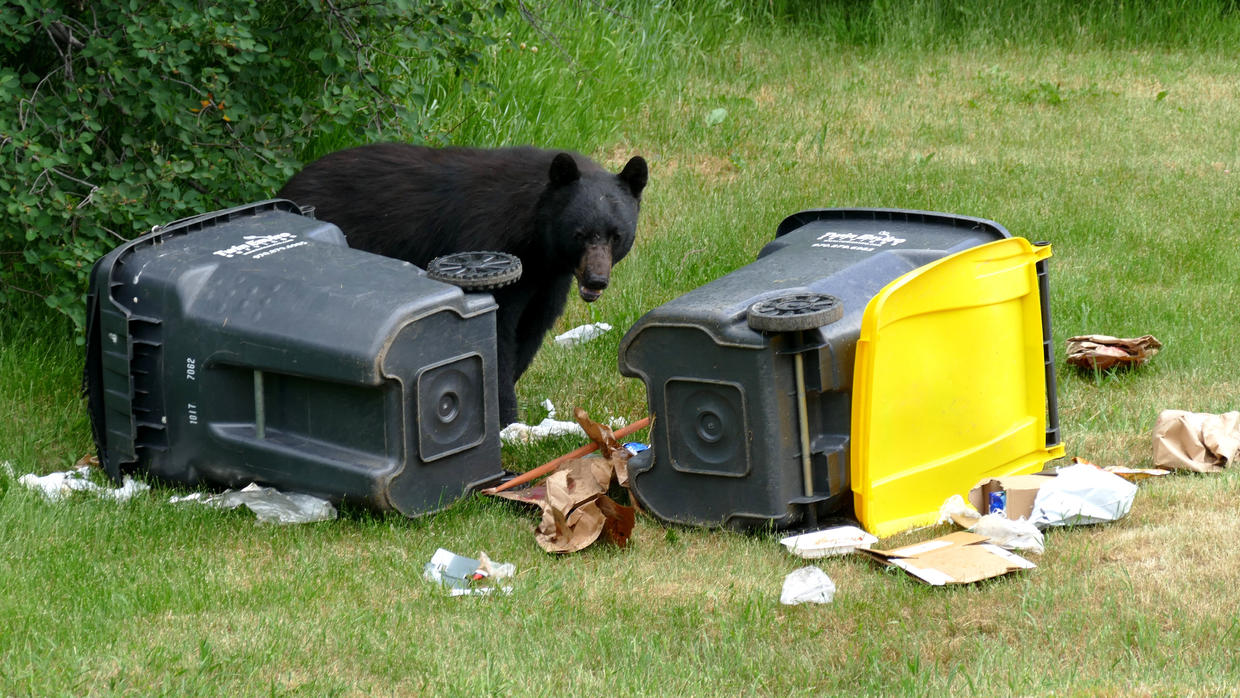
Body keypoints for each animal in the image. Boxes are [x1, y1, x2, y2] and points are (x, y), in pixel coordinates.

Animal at [277, 145, 649, 424]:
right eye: (579, 234)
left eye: (617, 235)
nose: (596, 279)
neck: (536, 240)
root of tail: (287, 189)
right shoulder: (490, 243)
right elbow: (494, 336)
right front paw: (506, 420)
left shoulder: (549, 280)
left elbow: (530, 331)